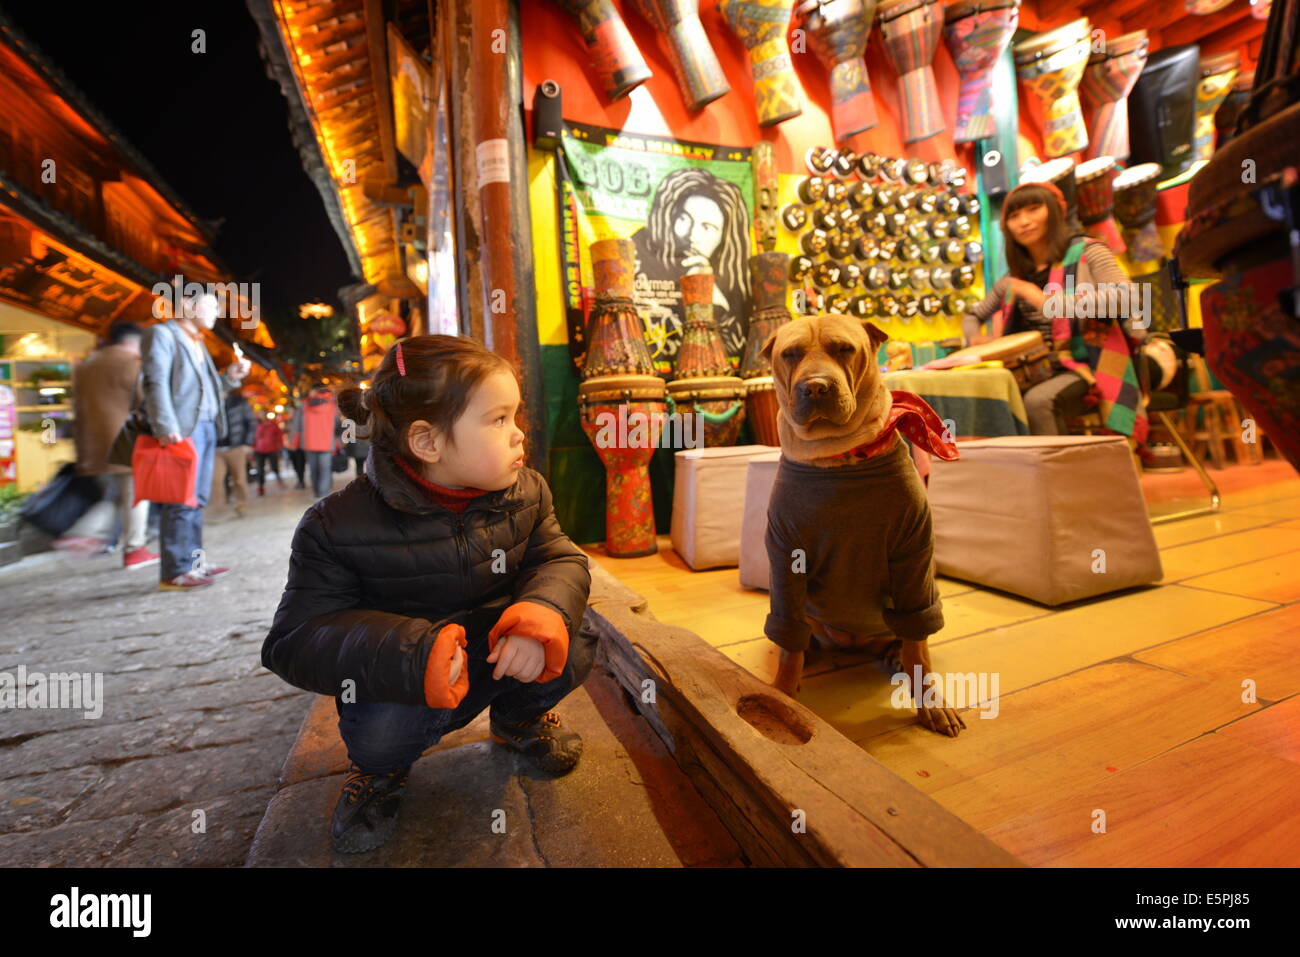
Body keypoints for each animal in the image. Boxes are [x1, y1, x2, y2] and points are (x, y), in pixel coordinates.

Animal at [759, 314, 967, 738]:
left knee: (912, 632)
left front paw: (931, 702)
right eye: (790, 354)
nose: (816, 386)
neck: (837, 457)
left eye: (844, 349)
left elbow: (919, 649)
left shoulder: (913, 554)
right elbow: (787, 648)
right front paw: (783, 694)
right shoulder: (786, 556)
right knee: (797, 636)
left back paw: (895, 655)